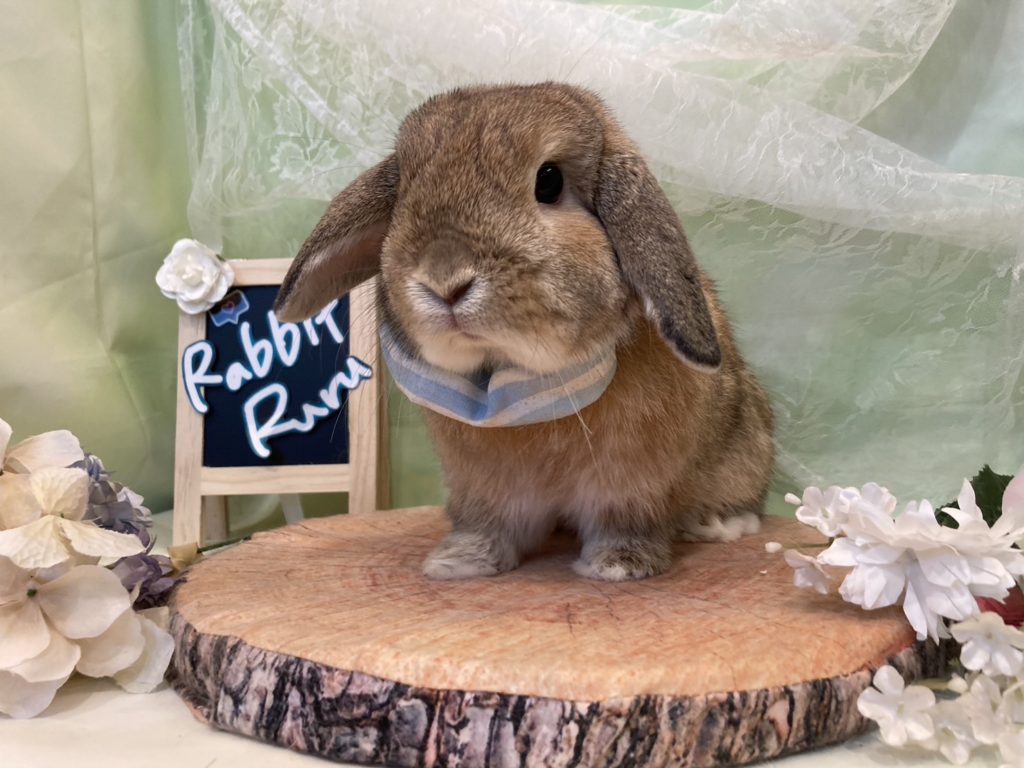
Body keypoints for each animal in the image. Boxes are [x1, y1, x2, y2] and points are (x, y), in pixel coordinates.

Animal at [274, 82, 774, 582]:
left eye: (549, 181)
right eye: (404, 196)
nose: (444, 280)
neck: (518, 386)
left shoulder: (631, 483)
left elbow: (625, 521)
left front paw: (617, 565)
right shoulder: (483, 489)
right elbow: (487, 525)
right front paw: (457, 561)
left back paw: (718, 525)